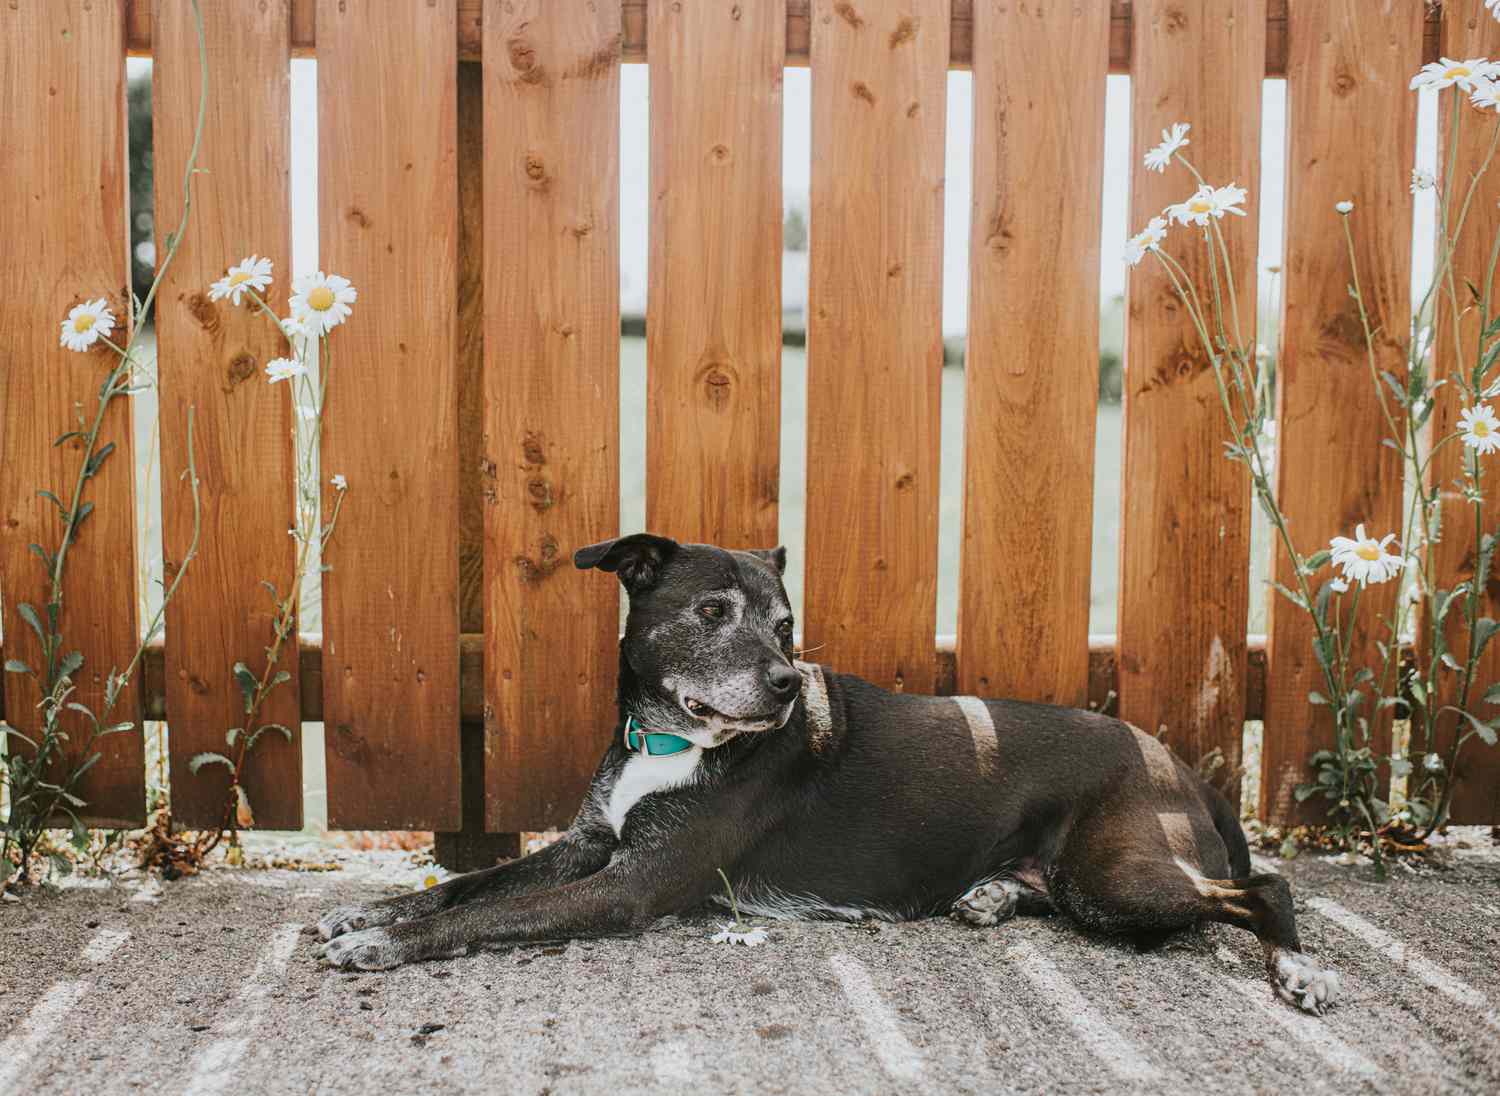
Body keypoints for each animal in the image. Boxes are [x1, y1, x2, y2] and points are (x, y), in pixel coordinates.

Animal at [313, 536, 1338, 1013]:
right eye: (713, 611)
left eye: (785, 625)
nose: (780, 683)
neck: (672, 741)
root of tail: (1183, 767)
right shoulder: (587, 843)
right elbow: (469, 883)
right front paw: (365, 911)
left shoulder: (631, 883)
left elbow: (486, 913)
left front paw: (381, 945)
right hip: (1094, 880)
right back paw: (992, 896)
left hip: (1116, 870)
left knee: (1264, 888)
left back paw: (1299, 970)